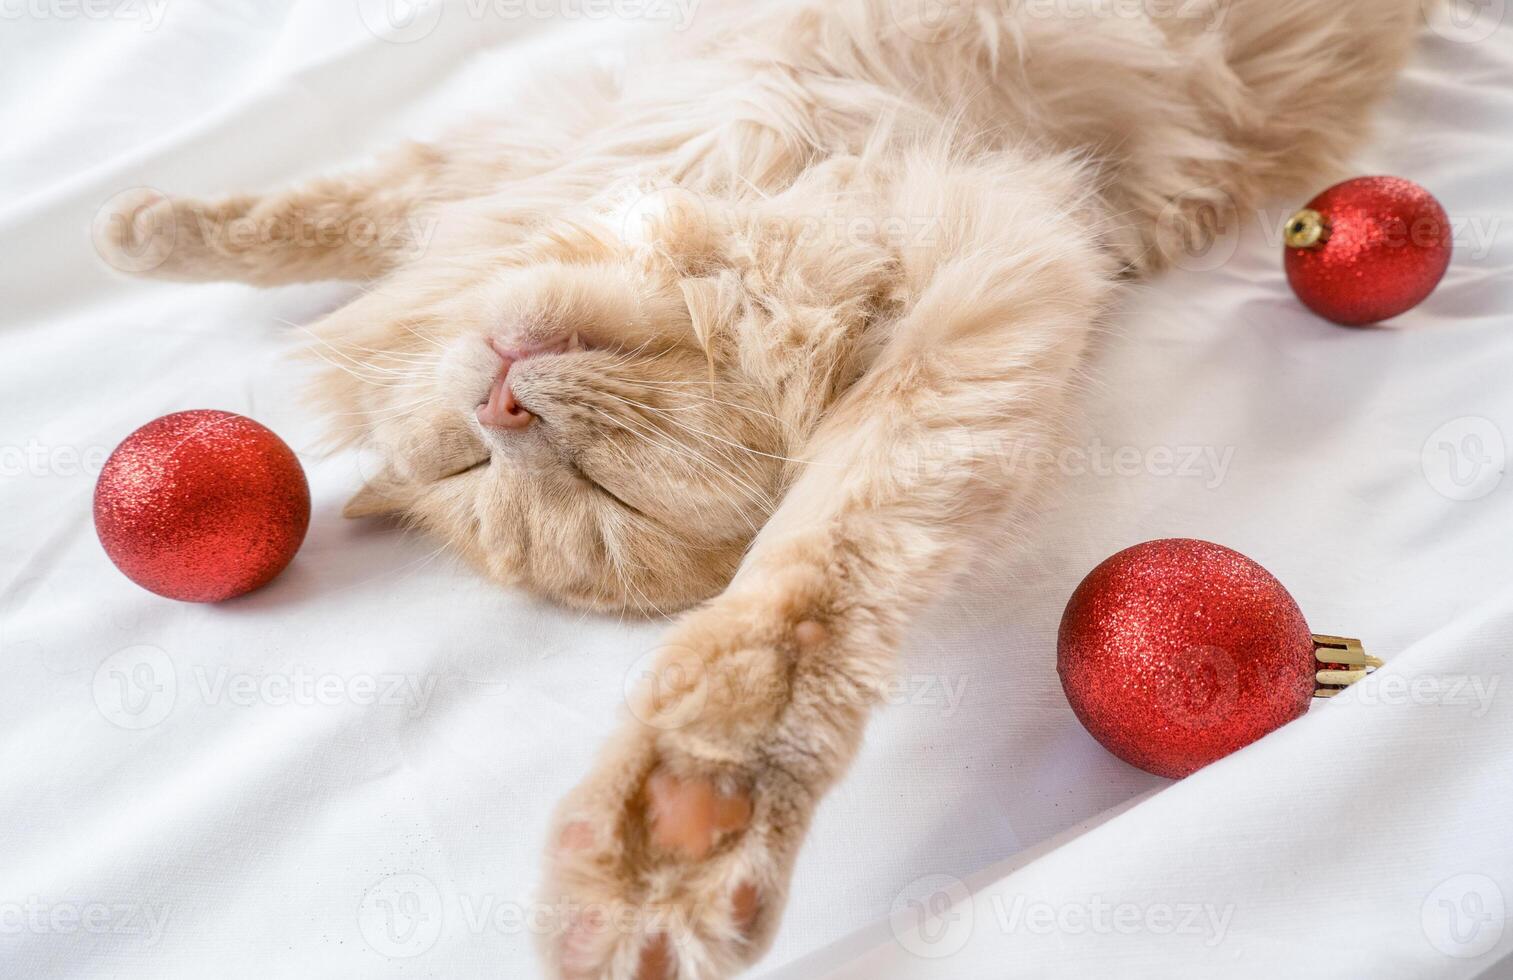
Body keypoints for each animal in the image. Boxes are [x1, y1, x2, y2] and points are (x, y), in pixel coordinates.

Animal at [97, 3, 1428, 973]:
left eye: (611, 493)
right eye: (469, 467)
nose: (501, 407)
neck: (751, 190)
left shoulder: (979, 303)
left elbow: (797, 612)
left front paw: (686, 829)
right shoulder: (567, 136)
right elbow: (346, 206)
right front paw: (149, 226)